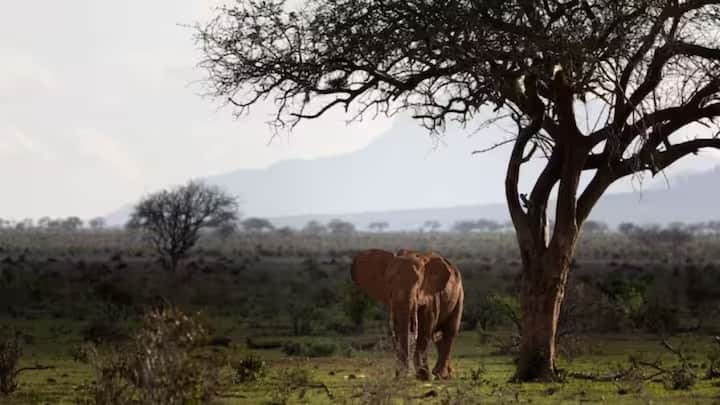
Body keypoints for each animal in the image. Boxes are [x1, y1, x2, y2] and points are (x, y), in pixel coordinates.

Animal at [352, 246, 464, 378]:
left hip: (459, 294)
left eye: (418, 283)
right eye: (388, 282)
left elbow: (425, 327)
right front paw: (402, 375)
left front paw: (423, 377)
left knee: (449, 331)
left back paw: (439, 374)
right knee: (438, 336)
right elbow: (400, 327)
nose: (404, 374)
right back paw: (444, 375)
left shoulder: (431, 294)